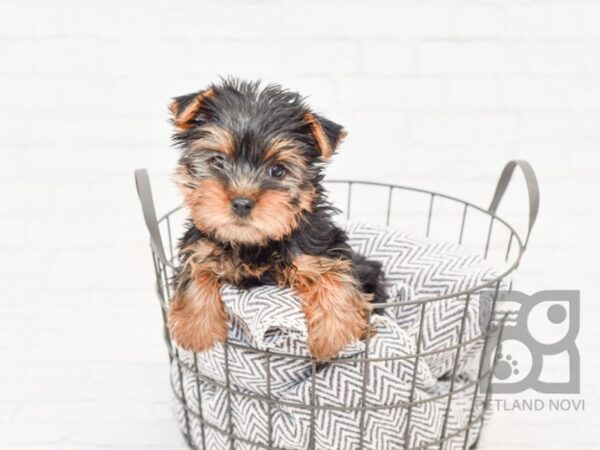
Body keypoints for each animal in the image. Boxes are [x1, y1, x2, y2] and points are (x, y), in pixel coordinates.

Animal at [169, 79, 384, 362]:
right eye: (218, 161)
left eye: (277, 170)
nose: (242, 202)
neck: (254, 244)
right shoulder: (202, 241)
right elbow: (197, 265)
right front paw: (196, 330)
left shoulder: (319, 248)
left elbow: (336, 275)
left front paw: (335, 336)